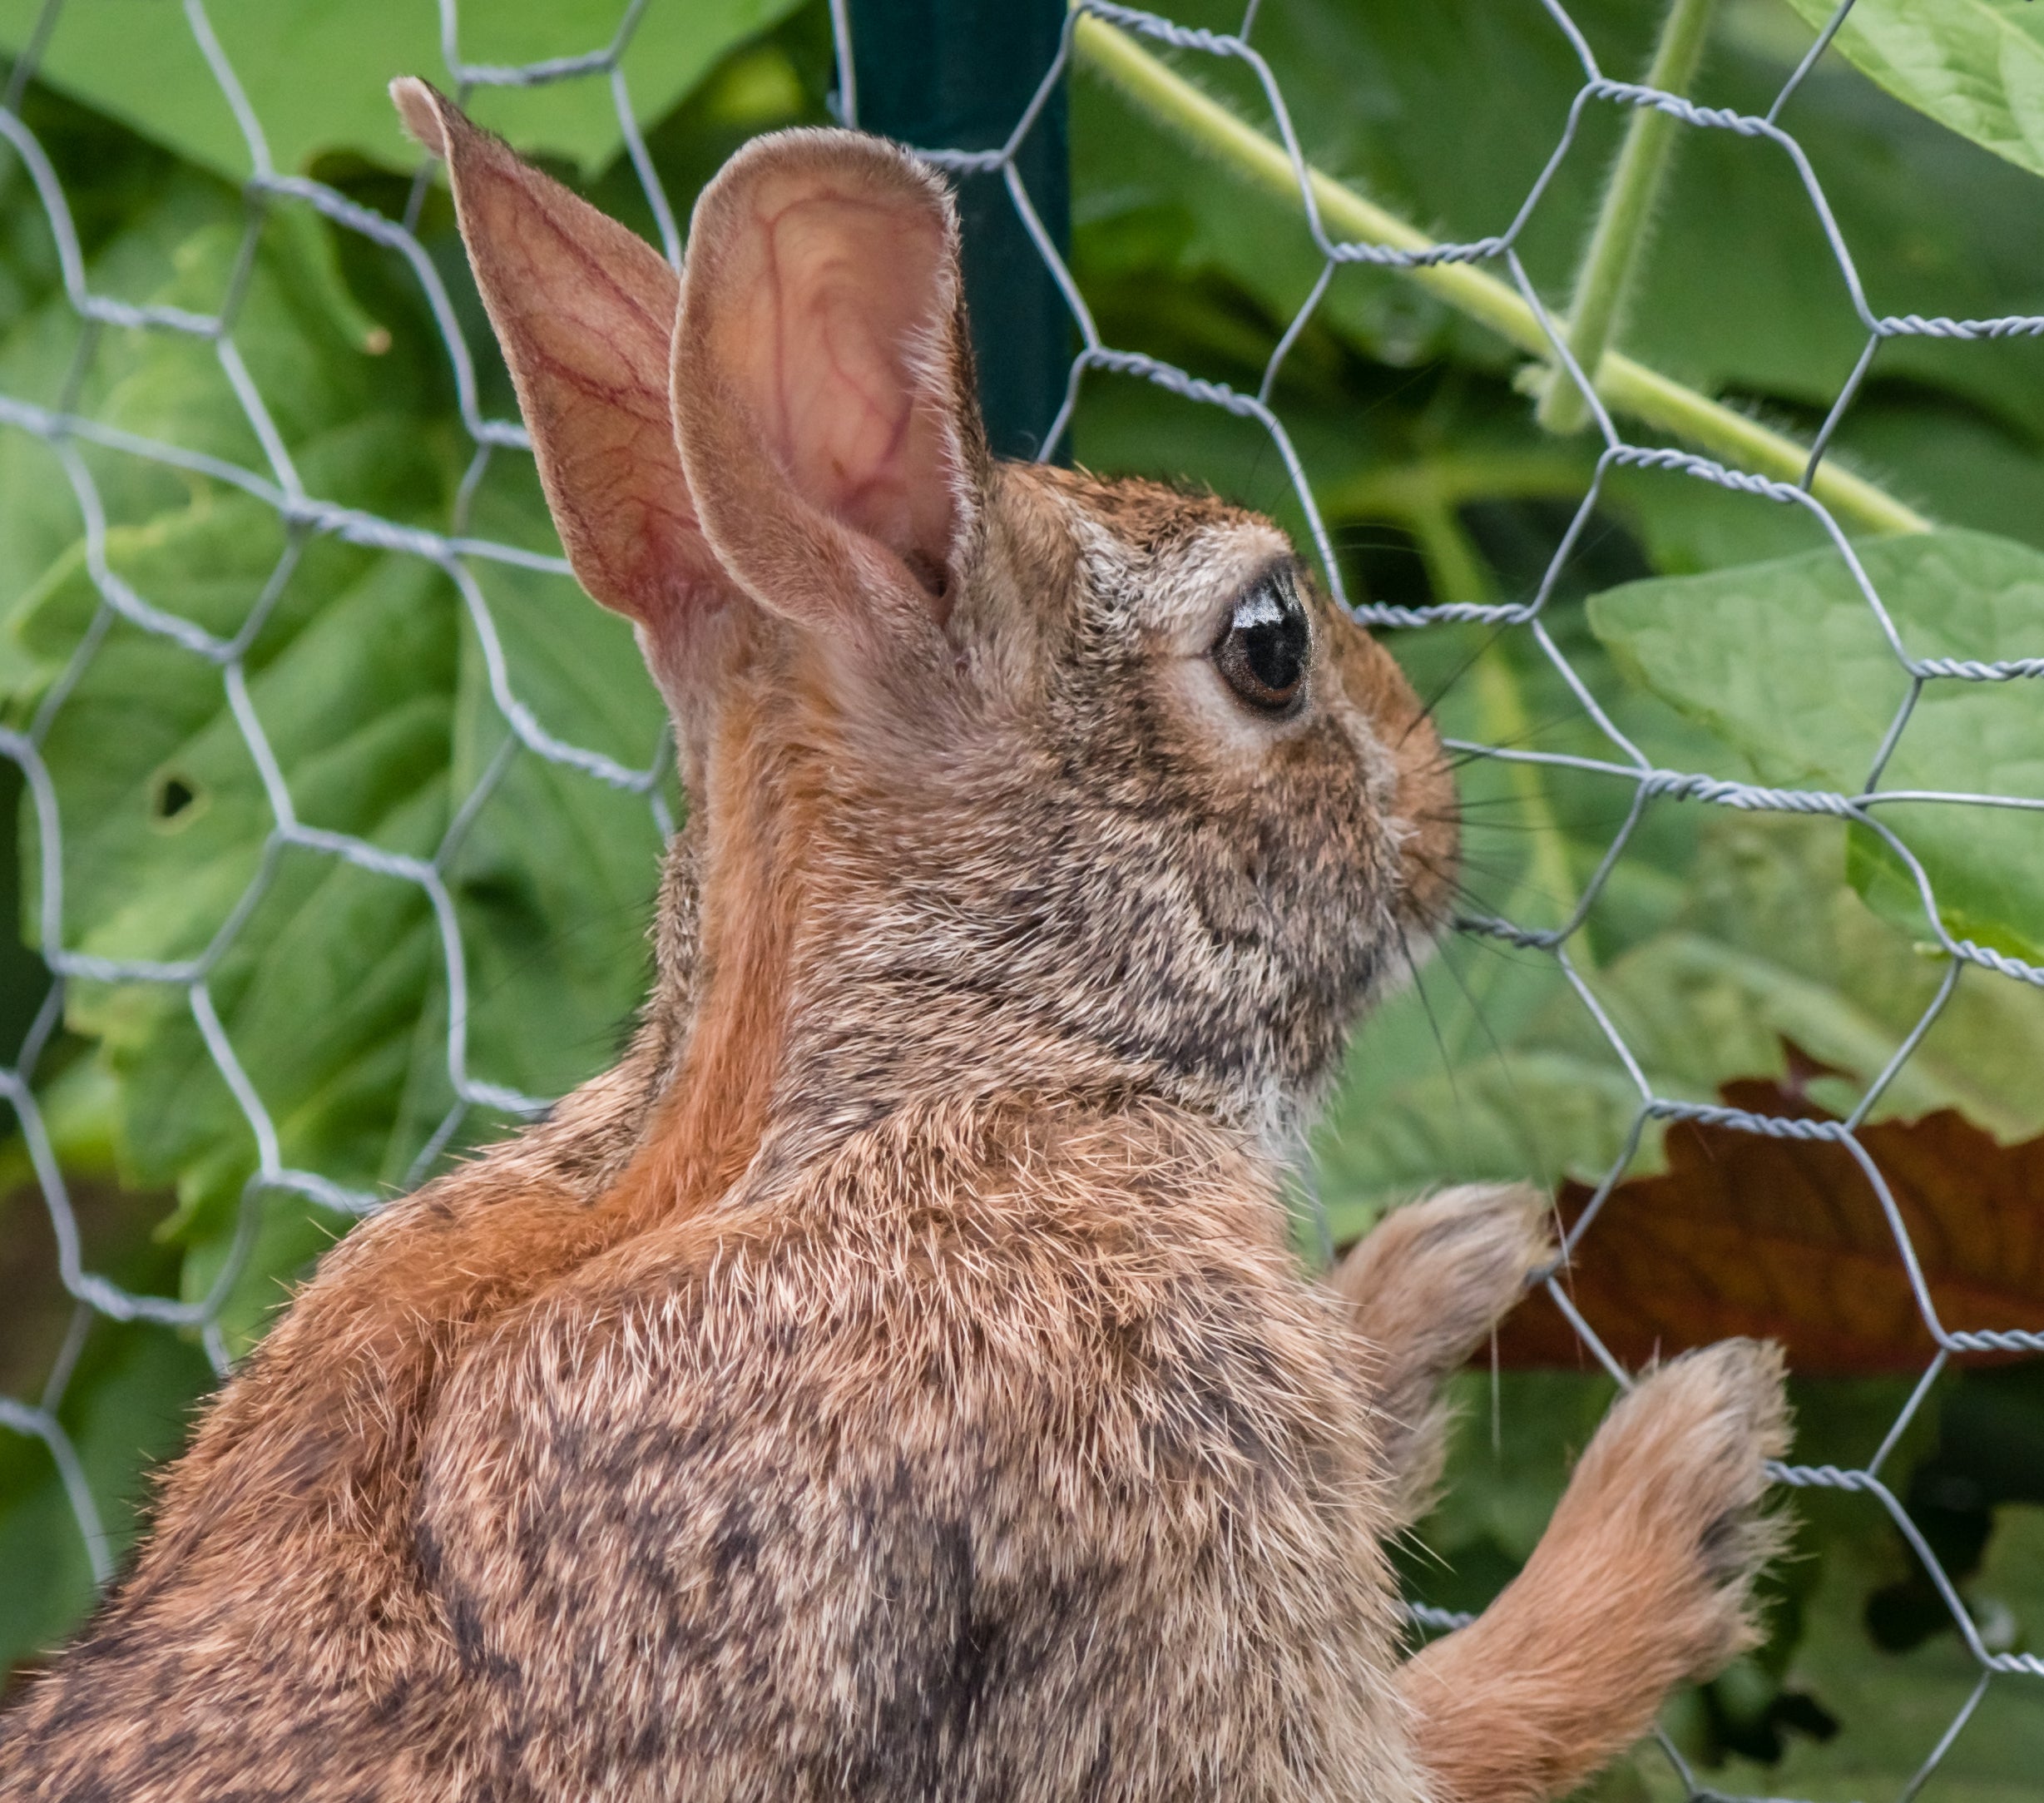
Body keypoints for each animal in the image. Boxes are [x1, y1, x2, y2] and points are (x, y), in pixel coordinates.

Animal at [0, 87, 1790, 1799]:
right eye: (1270, 646)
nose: (1433, 820)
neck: (931, 1073)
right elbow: (1444, 1733)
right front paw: (1676, 1478)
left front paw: (1443, 1270)